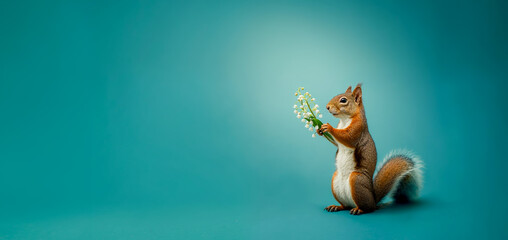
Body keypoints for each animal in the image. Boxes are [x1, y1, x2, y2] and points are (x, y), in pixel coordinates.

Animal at [318, 83, 420, 215]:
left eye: (343, 100)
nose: (327, 107)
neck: (344, 119)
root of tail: (373, 200)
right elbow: (336, 143)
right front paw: (319, 129)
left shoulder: (358, 128)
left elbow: (348, 138)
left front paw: (329, 127)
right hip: (335, 181)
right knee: (345, 205)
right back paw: (337, 206)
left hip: (356, 180)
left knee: (367, 208)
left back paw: (359, 210)